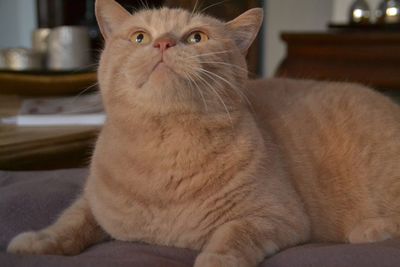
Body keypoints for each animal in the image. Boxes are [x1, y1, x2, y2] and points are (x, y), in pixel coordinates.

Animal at [5, 0, 400, 267]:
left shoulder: (278, 217)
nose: (163, 43)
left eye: (196, 37)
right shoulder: (95, 204)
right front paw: (36, 242)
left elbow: (233, 234)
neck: (164, 153)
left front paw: (215, 259)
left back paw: (370, 229)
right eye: (140, 37)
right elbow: (68, 223)